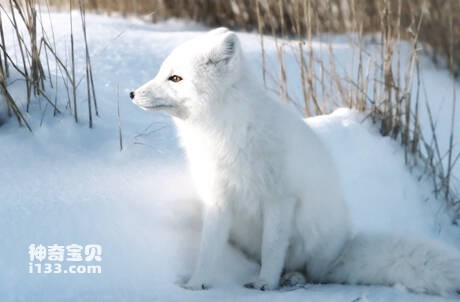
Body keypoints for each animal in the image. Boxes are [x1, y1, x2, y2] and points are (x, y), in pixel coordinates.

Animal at [129, 27, 460, 296]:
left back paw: (293, 278)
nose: (131, 93)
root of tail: (343, 248)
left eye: (175, 78)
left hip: (313, 238)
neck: (226, 132)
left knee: (314, 272)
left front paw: (265, 283)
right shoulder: (218, 199)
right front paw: (196, 283)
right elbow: (208, 249)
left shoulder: (279, 198)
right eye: (163, 72)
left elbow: (273, 248)